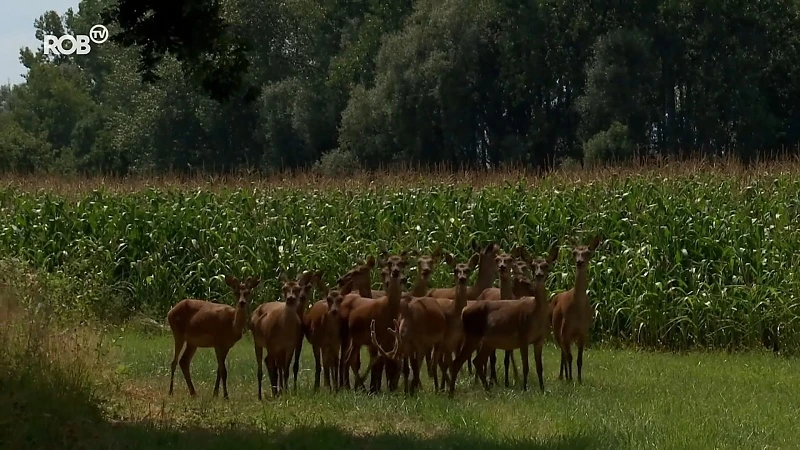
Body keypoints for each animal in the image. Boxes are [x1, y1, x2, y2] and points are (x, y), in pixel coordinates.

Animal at [252, 270, 314, 398]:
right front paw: (278, 392)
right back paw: (261, 395)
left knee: (272, 363)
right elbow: (276, 368)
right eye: (284, 288)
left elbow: (286, 370)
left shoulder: (289, 346)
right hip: (257, 340)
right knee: (262, 366)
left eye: (298, 289)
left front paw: (285, 391)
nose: (290, 298)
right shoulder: (271, 344)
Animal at [446, 244, 560, 396]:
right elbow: (526, 366)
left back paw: (487, 390)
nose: (539, 275)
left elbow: (539, 367)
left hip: (487, 341)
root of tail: (464, 311)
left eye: (546, 265)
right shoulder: (522, 336)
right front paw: (525, 388)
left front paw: (542, 389)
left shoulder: (539, 340)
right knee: (458, 361)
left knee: (477, 361)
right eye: (533, 265)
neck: (535, 315)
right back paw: (452, 393)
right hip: (473, 335)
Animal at [552, 236, 604, 384]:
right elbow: (569, 357)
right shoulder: (565, 331)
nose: (579, 262)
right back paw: (562, 376)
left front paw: (579, 380)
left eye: (588, 252)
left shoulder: (583, 332)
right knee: (564, 353)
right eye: (574, 252)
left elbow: (579, 360)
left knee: (564, 354)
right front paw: (570, 378)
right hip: (556, 330)